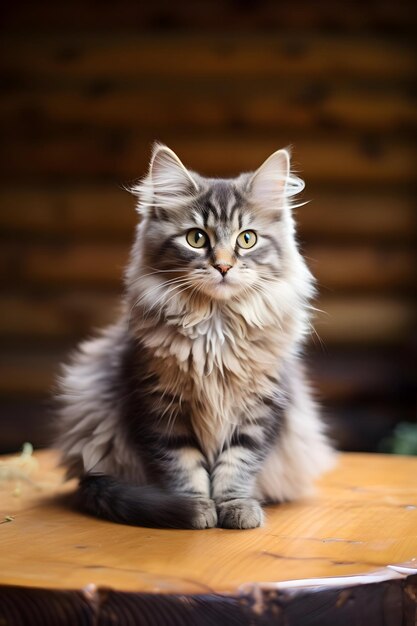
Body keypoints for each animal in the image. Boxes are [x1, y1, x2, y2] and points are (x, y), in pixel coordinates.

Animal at [54, 143, 334, 528]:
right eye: (196, 238)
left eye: (247, 239)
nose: (223, 266)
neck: (216, 328)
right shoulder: (161, 407)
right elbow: (183, 466)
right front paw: (196, 508)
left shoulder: (259, 411)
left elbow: (238, 463)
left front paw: (236, 507)